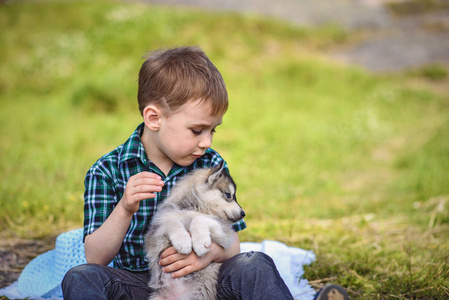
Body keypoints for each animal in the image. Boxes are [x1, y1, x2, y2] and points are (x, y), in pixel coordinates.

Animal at [144, 162, 245, 300]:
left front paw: (200, 243)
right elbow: (172, 223)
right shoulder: (154, 236)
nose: (243, 213)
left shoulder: (225, 233)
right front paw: (183, 241)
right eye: (228, 195)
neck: (191, 209)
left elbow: (200, 219)